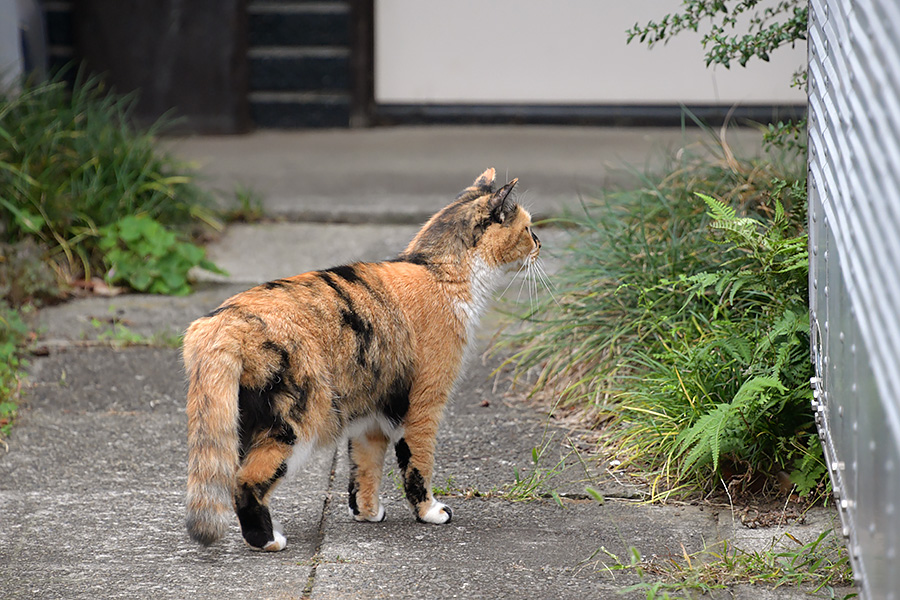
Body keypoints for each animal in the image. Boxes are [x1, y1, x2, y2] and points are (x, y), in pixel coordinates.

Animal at [179, 166, 536, 552]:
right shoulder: (424, 405)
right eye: (528, 228)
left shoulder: (372, 414)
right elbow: (418, 463)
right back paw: (268, 540)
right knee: (245, 479)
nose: (540, 244)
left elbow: (364, 466)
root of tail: (222, 321)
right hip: (297, 421)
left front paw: (366, 512)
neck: (439, 273)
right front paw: (430, 512)